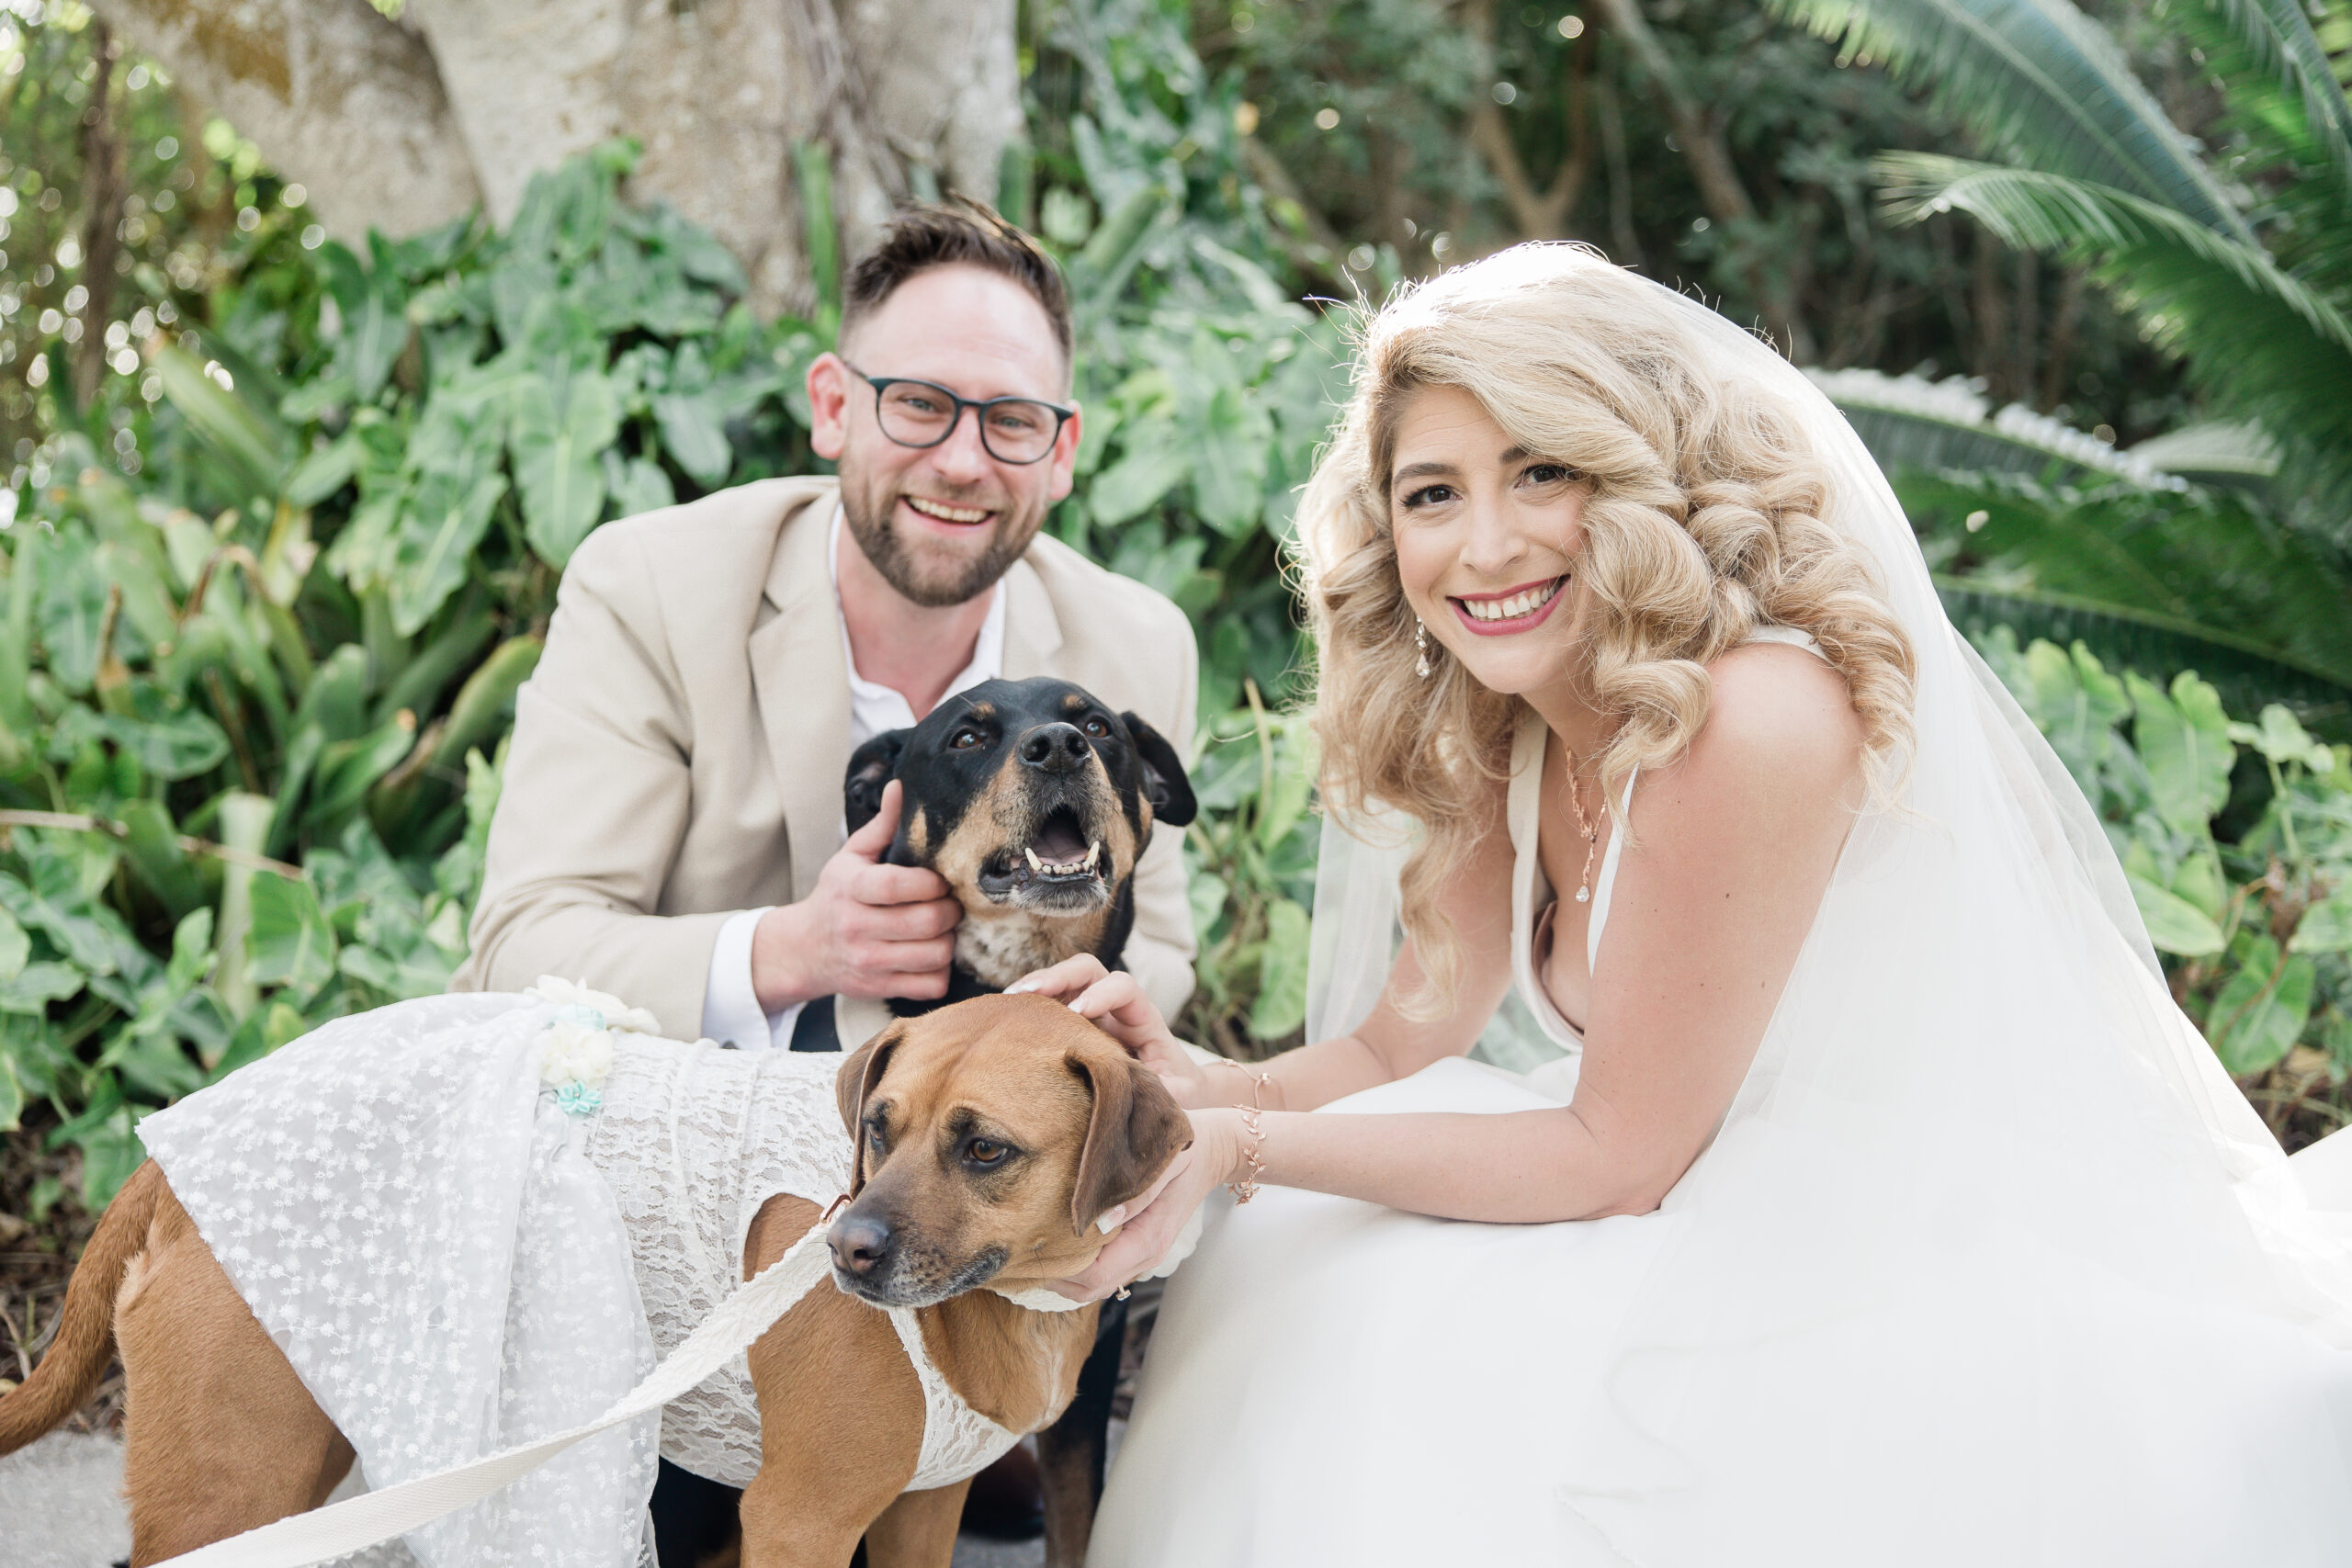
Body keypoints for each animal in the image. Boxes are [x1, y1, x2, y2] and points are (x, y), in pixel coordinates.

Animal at [0, 1001, 1185, 1568]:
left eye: (984, 1150)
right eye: (878, 1128)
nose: (843, 1249)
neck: (1011, 1299)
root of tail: (168, 1157)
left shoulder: (921, 1514)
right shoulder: (799, 1521)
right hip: (231, 1485)